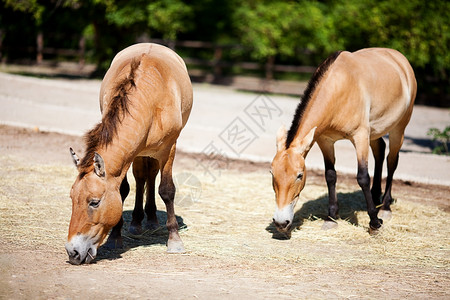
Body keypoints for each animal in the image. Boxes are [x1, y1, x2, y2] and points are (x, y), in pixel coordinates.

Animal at [66, 43, 192, 264]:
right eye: (72, 198)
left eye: (94, 202)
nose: (72, 252)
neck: (150, 98)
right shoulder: (129, 153)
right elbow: (123, 189)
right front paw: (116, 237)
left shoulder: (169, 149)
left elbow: (167, 190)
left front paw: (175, 241)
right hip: (140, 152)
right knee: (143, 177)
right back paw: (138, 221)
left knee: (151, 176)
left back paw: (151, 220)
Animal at [268, 47, 416, 234]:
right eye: (272, 173)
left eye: (299, 175)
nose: (281, 222)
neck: (339, 88)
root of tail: (400, 59)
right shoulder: (325, 141)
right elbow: (330, 175)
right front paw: (331, 218)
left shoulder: (360, 136)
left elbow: (363, 177)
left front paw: (374, 222)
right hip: (374, 132)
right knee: (380, 151)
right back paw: (376, 197)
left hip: (399, 128)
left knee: (392, 162)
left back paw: (385, 207)